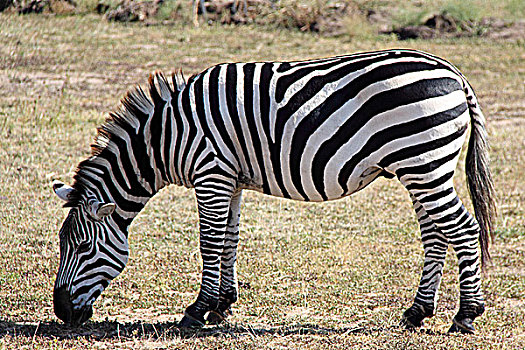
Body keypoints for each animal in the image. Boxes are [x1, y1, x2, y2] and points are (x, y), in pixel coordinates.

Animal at [52, 49, 496, 334]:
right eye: (63, 245)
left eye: (83, 247)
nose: (61, 312)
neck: (165, 138)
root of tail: (455, 74)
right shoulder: (230, 179)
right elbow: (229, 240)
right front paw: (222, 305)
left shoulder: (211, 173)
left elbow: (209, 242)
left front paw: (196, 311)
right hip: (421, 167)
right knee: (436, 233)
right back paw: (417, 312)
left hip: (423, 163)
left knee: (463, 229)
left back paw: (466, 315)